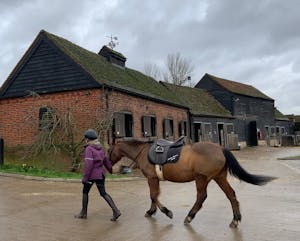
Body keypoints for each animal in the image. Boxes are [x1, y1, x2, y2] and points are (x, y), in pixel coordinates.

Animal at [108, 138, 276, 227]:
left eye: (109, 150)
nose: (108, 165)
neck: (144, 152)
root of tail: (220, 148)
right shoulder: (153, 179)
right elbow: (153, 196)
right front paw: (151, 211)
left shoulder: (152, 178)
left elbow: (153, 196)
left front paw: (166, 212)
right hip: (219, 177)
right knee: (231, 195)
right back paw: (235, 219)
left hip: (201, 178)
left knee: (201, 197)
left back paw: (189, 216)